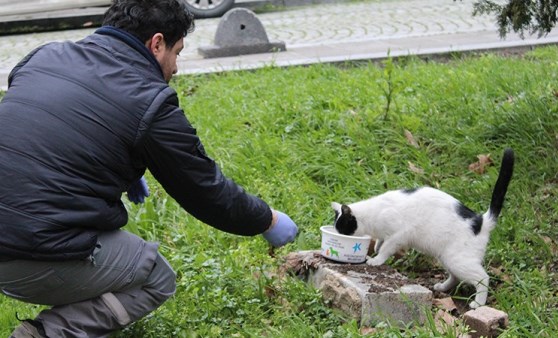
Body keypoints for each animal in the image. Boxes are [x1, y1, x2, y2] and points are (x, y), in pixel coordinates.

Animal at [332, 149, 516, 308]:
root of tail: (481, 221)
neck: (372, 214)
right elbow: (380, 242)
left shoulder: (399, 235)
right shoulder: (386, 234)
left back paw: (478, 303)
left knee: (483, 278)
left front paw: (376, 260)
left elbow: (386, 249)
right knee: (456, 277)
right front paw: (376, 248)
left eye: (342, 228)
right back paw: (442, 287)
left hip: (458, 260)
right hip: (447, 257)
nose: (336, 234)